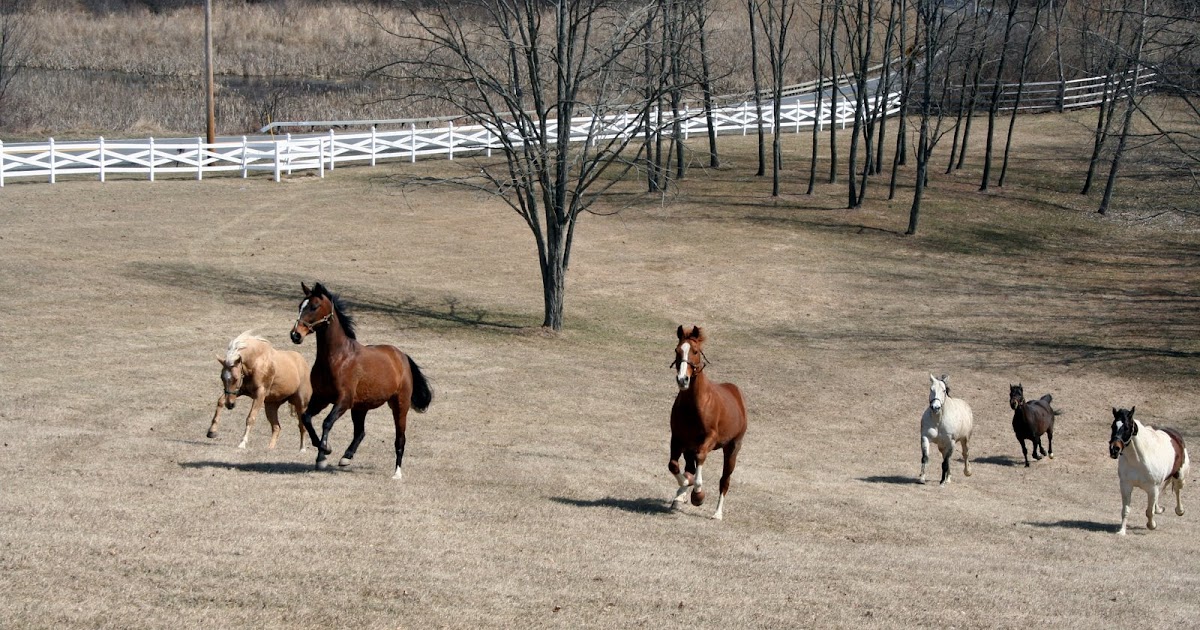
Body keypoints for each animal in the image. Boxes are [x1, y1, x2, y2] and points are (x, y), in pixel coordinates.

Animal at [290, 282, 432, 478]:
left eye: (314, 306)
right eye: (299, 306)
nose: (295, 335)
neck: (337, 358)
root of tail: (401, 356)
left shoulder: (344, 400)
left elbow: (327, 422)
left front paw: (323, 453)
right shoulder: (321, 398)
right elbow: (306, 418)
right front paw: (324, 451)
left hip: (399, 405)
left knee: (400, 439)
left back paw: (397, 473)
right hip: (360, 407)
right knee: (360, 432)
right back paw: (346, 457)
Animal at [668, 325, 747, 520]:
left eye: (695, 351)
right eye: (677, 350)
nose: (682, 379)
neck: (693, 405)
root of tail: (736, 392)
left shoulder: (709, 439)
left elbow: (700, 458)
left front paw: (698, 495)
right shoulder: (678, 438)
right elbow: (674, 465)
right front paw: (684, 488)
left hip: (732, 448)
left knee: (725, 480)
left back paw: (717, 513)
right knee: (688, 466)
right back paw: (680, 496)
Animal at [1109, 407, 1189, 535]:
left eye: (1126, 427)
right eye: (1113, 426)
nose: (1114, 449)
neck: (1139, 460)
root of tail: (1175, 436)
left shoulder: (1152, 488)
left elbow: (1149, 512)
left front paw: (1152, 525)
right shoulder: (1126, 486)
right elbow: (1126, 510)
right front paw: (1121, 531)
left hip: (1179, 476)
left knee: (1177, 490)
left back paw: (1179, 510)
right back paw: (1159, 509)